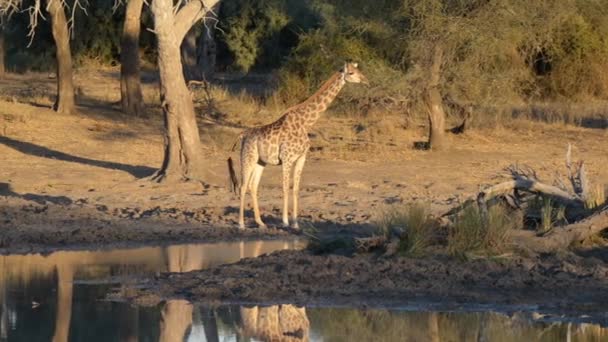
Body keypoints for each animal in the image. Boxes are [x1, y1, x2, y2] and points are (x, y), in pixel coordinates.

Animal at [229, 61, 368, 230]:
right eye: (352, 73)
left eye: (358, 70)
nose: (366, 80)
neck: (305, 123)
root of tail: (242, 135)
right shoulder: (287, 158)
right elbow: (285, 188)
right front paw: (285, 222)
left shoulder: (301, 158)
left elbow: (295, 189)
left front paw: (295, 223)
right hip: (247, 157)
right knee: (243, 186)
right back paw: (241, 224)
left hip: (260, 161)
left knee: (253, 186)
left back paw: (260, 222)